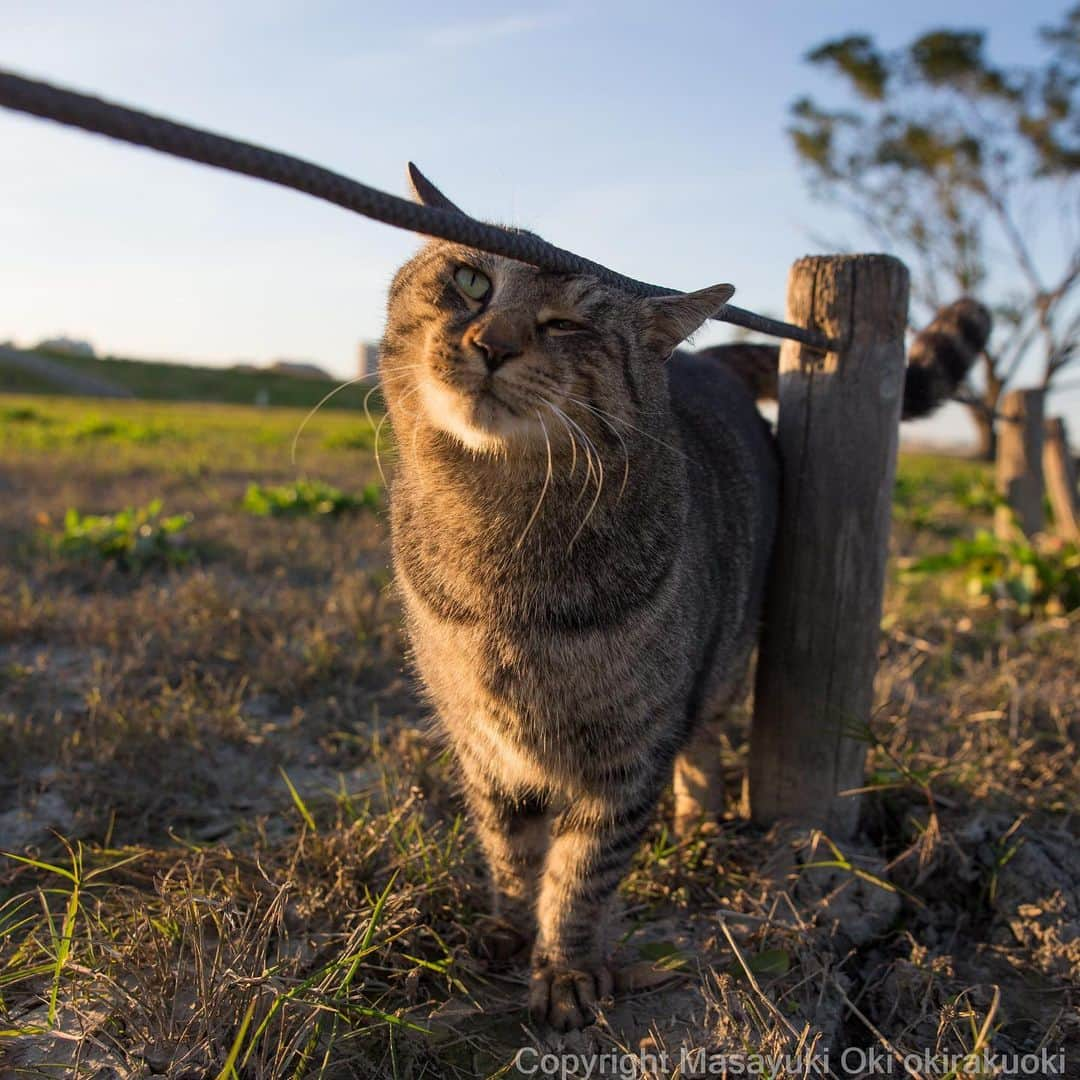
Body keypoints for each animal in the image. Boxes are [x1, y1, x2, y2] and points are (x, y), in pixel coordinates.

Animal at [382, 166, 993, 1028]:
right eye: (472, 281)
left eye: (568, 324)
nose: (491, 344)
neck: (500, 550)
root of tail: (709, 365)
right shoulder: (481, 744)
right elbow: (508, 852)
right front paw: (506, 928)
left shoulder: (629, 753)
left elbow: (579, 875)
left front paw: (565, 971)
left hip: (718, 667)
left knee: (701, 741)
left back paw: (698, 819)